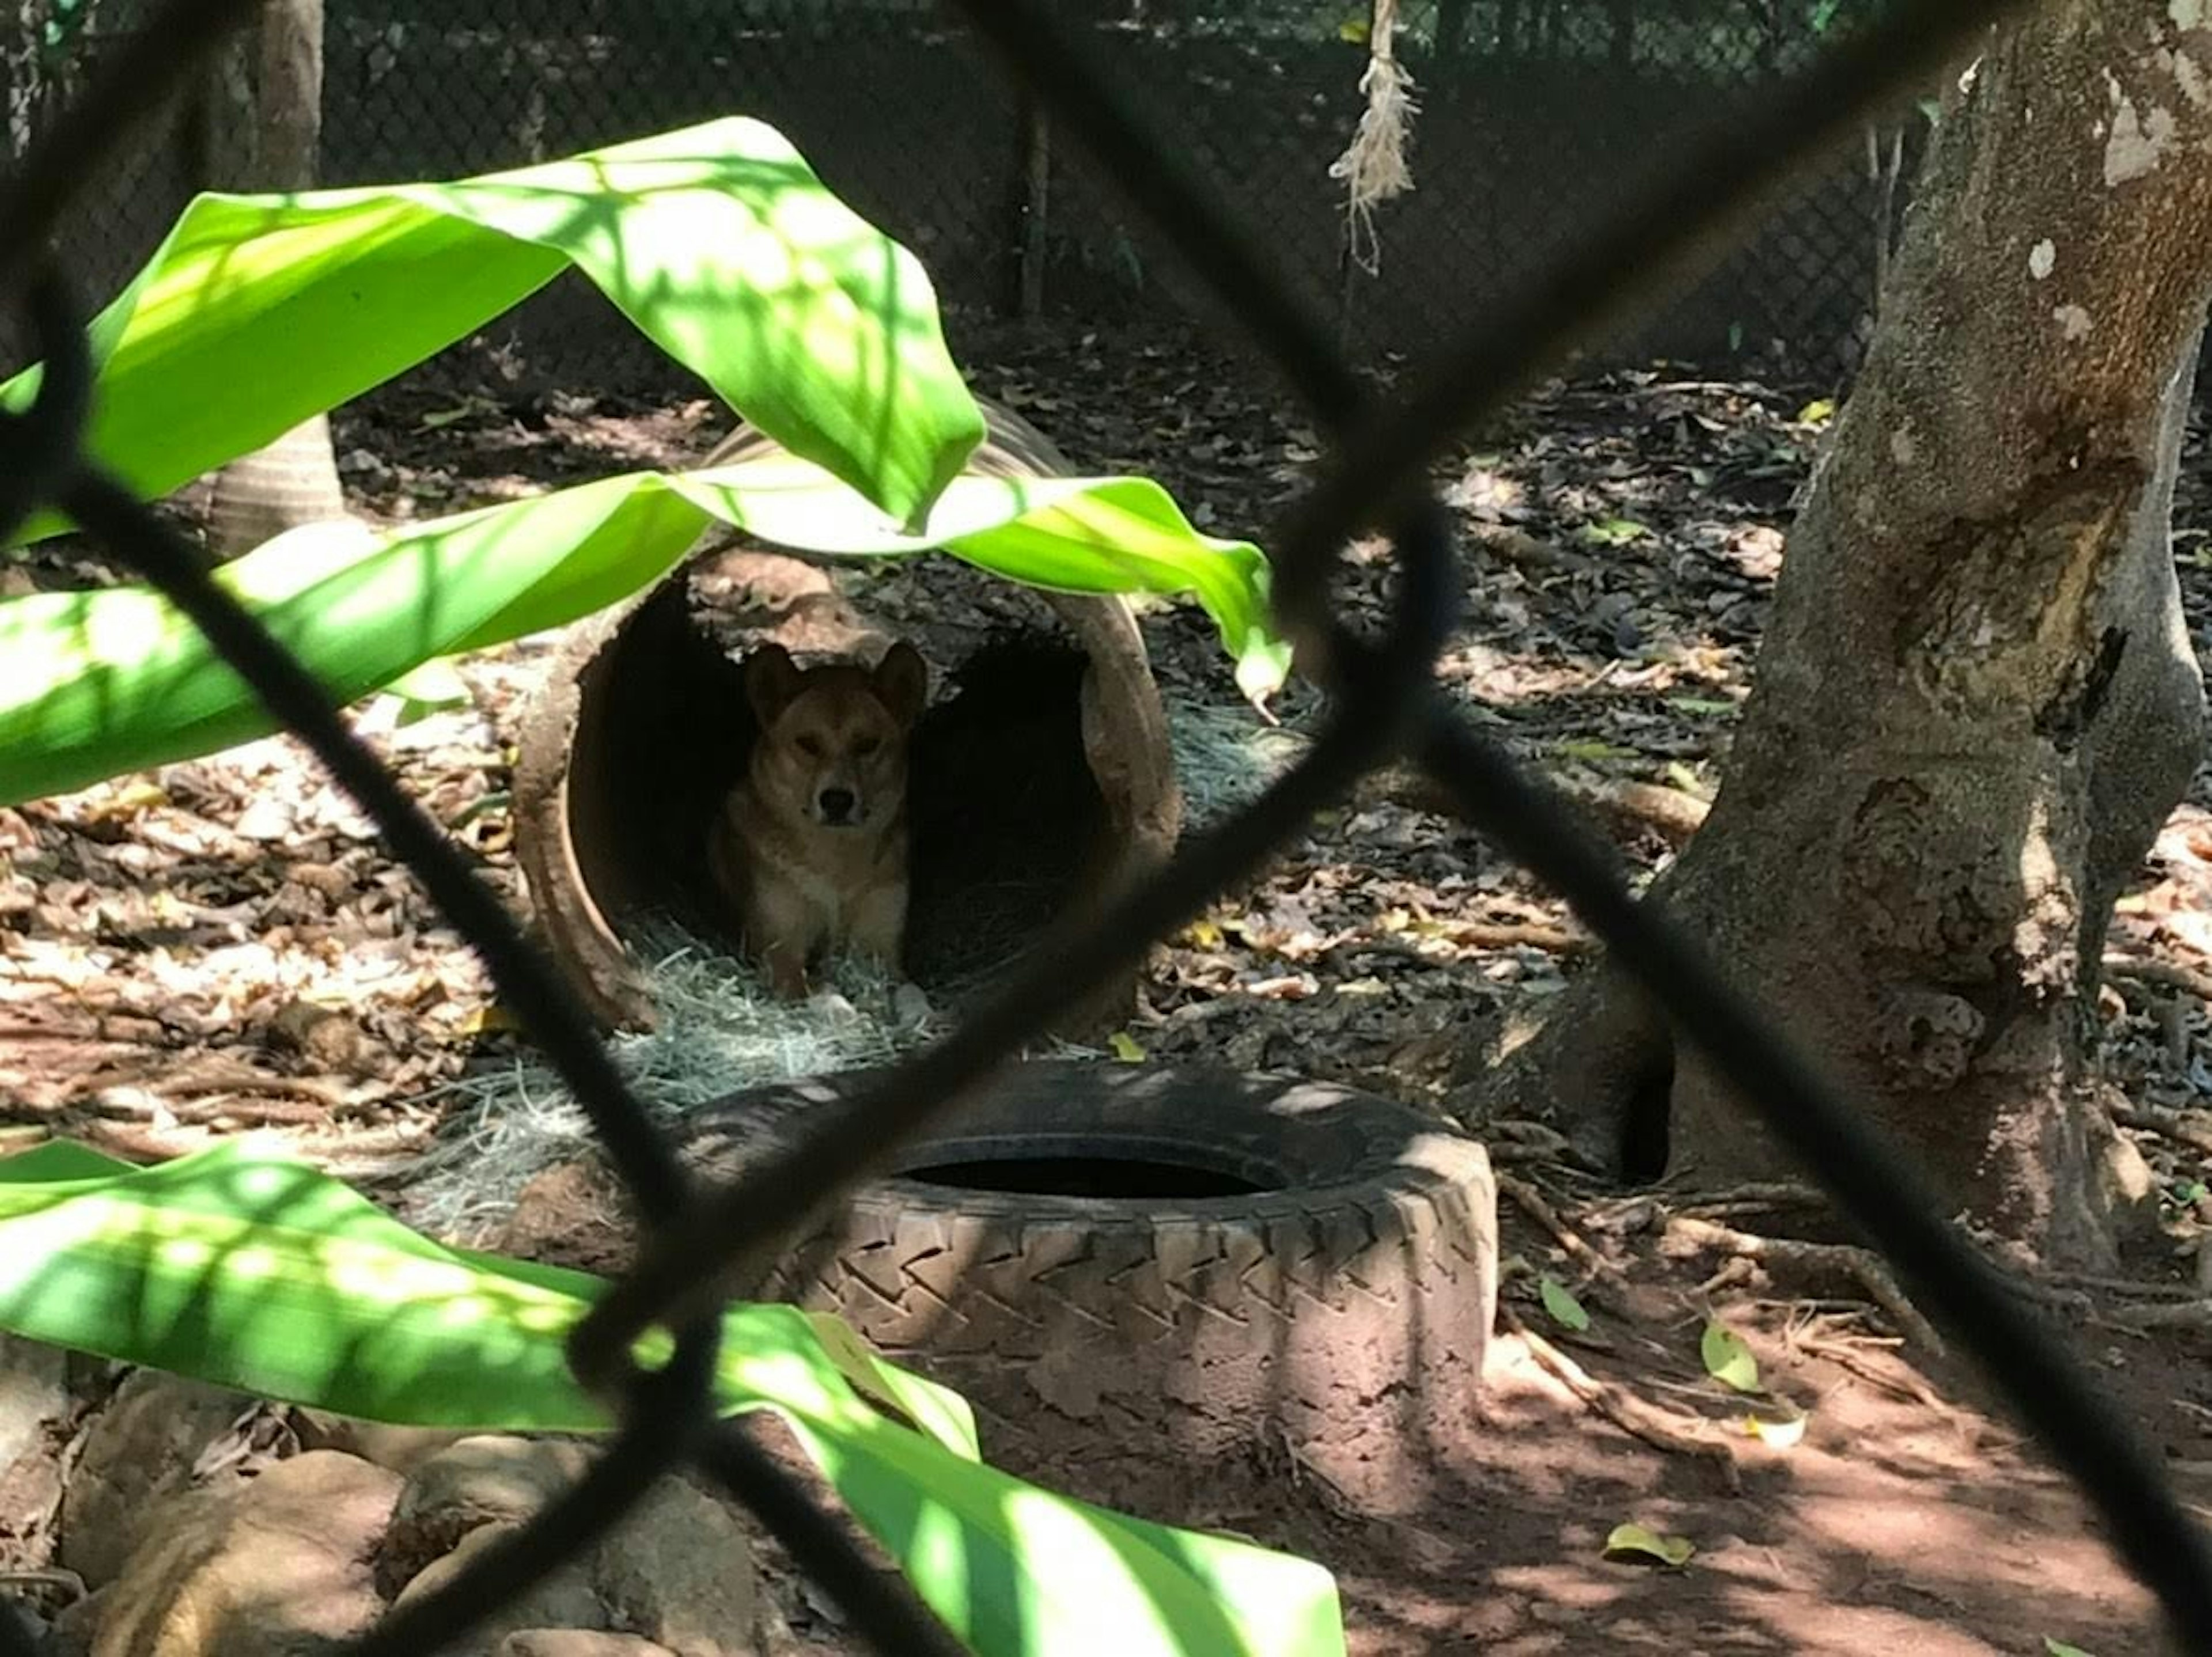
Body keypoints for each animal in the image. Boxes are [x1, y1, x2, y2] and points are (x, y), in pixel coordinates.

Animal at [703, 637, 920, 995]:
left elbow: (911, 992)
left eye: (868, 744)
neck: (837, 861)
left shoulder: (883, 951)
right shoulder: (781, 953)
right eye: (807, 743)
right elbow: (817, 993)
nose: (837, 800)